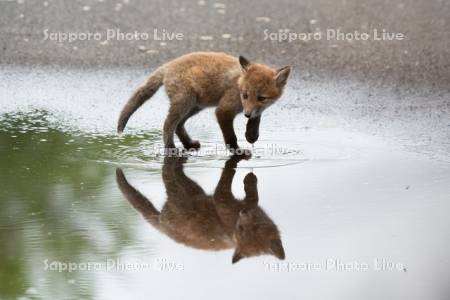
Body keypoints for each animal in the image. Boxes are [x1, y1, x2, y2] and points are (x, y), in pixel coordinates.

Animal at [116, 156, 284, 264]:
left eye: (257, 228)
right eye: (241, 229)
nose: (244, 212)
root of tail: (163, 228)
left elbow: (252, 195)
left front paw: (250, 177)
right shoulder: (220, 197)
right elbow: (230, 178)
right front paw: (248, 176)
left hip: (191, 187)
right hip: (177, 190)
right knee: (168, 170)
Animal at [117, 51, 292, 154]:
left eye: (261, 98)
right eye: (245, 95)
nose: (246, 114)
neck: (237, 84)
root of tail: (168, 66)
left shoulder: (255, 111)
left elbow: (256, 120)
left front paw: (251, 135)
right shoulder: (223, 110)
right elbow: (231, 137)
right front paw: (237, 152)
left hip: (195, 106)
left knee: (179, 126)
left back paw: (188, 144)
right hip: (185, 102)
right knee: (168, 125)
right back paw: (170, 148)